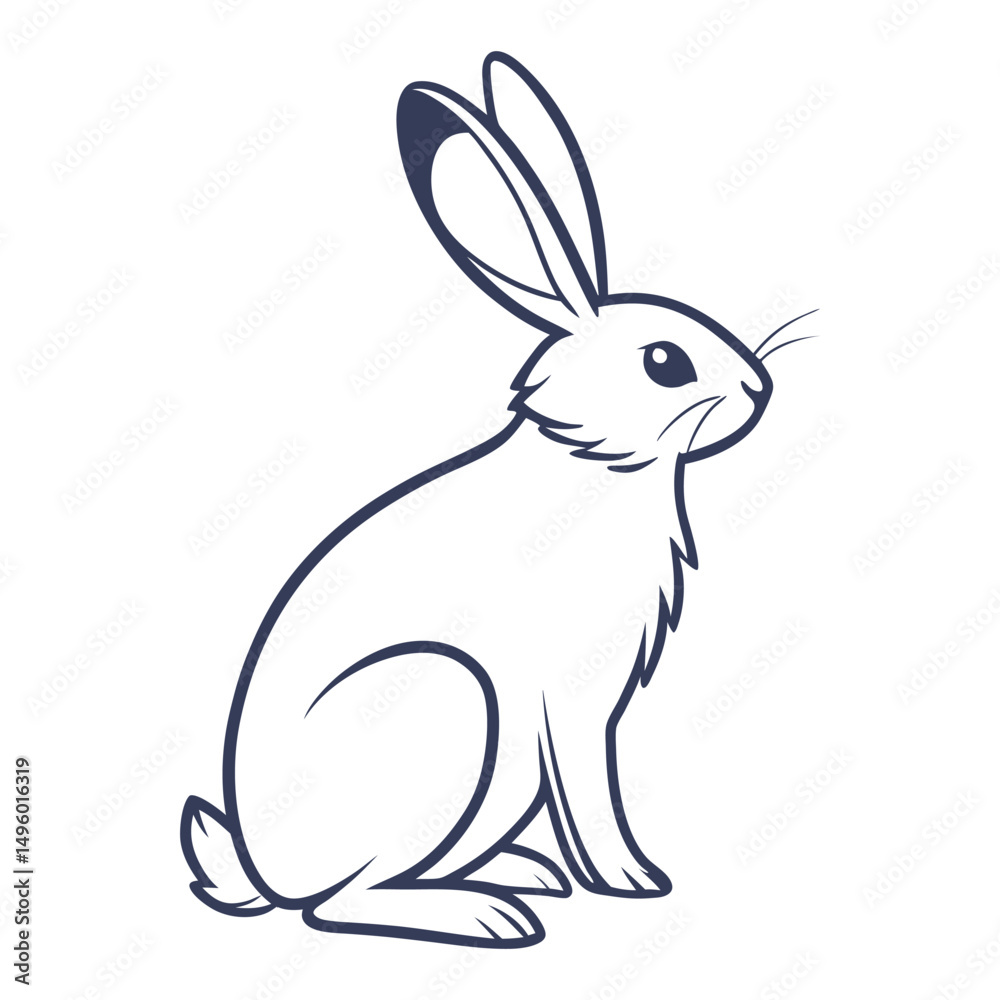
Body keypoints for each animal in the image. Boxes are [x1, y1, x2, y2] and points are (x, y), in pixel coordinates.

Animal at [181, 51, 814, 949]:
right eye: (665, 362)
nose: (760, 390)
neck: (595, 461)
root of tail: (260, 870)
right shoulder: (574, 704)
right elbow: (589, 790)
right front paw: (633, 880)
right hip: (448, 702)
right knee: (334, 904)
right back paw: (488, 915)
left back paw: (520, 874)